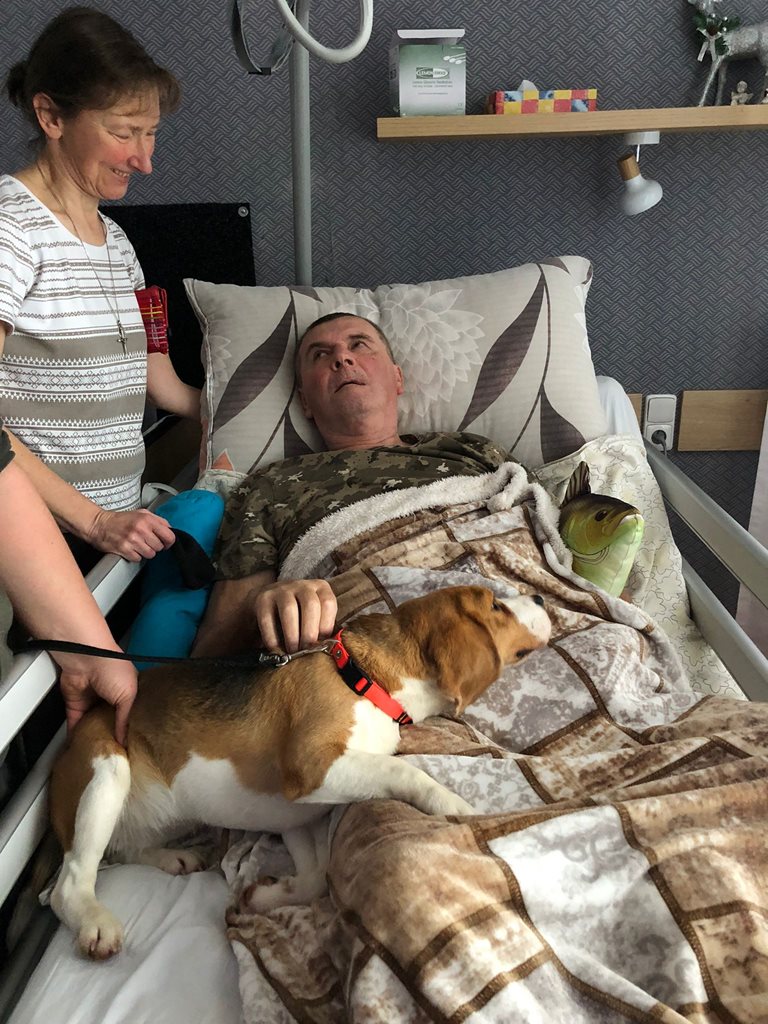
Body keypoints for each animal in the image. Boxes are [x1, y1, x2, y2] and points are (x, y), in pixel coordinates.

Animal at [48, 584, 551, 959]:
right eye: (496, 606)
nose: (541, 598)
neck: (365, 678)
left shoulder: (296, 815)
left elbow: (314, 877)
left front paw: (266, 897)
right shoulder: (311, 766)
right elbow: (404, 772)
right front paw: (455, 804)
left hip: (165, 812)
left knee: (123, 848)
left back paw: (173, 858)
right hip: (106, 771)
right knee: (70, 881)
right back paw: (95, 922)